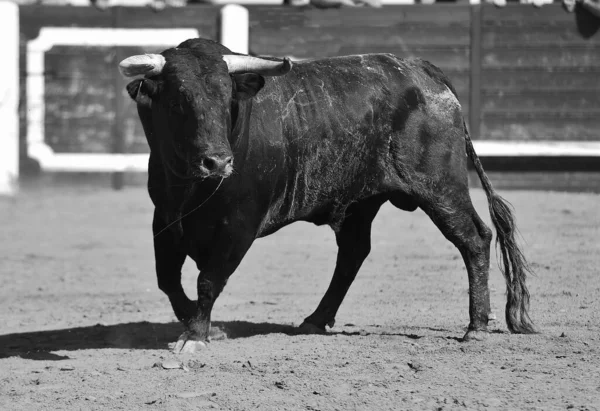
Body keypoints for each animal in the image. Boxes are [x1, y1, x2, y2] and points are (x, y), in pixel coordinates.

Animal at [118, 38, 536, 354]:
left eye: (228, 102)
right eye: (177, 102)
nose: (217, 162)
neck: (191, 186)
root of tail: (421, 71)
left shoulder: (240, 225)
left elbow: (208, 280)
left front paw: (196, 335)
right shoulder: (165, 219)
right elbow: (168, 280)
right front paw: (200, 325)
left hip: (440, 187)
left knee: (474, 238)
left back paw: (476, 326)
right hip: (361, 203)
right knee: (353, 253)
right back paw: (315, 320)